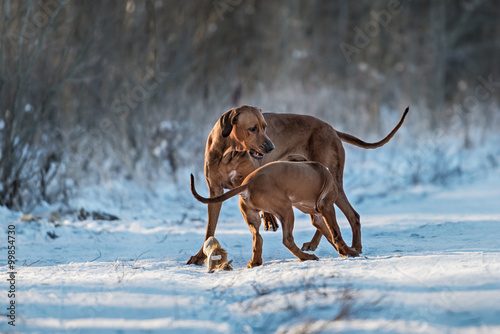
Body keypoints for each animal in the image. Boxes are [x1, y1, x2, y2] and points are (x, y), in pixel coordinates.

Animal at [191, 160, 360, 268]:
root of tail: (248, 184)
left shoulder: (318, 217)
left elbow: (330, 235)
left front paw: (345, 251)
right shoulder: (327, 206)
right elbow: (336, 233)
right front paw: (349, 251)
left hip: (252, 217)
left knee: (257, 237)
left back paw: (255, 262)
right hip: (286, 209)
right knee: (287, 240)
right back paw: (306, 257)